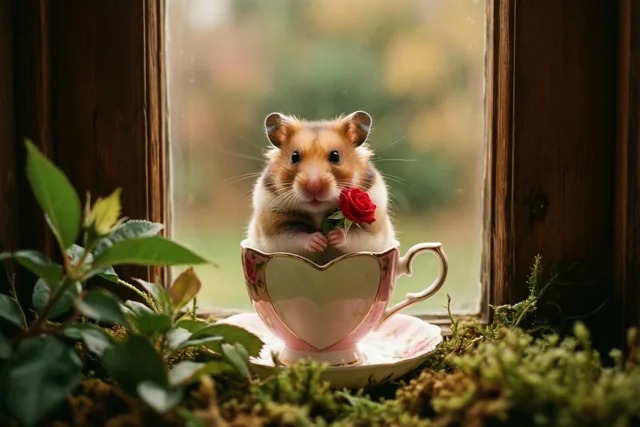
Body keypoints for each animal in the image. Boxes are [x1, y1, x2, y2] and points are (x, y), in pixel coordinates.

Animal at [246, 110, 396, 264]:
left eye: (335, 156)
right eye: (294, 157)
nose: (313, 186)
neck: (317, 212)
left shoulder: (372, 230)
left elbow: (354, 236)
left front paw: (332, 237)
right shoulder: (274, 229)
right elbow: (295, 237)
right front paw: (319, 240)